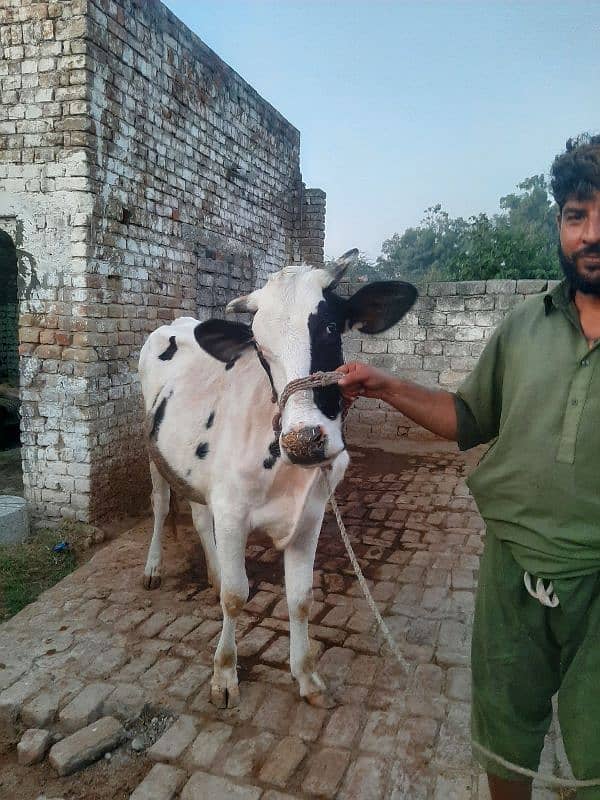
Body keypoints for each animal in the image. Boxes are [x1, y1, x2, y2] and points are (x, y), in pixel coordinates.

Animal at [139, 250, 418, 708]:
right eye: (260, 348)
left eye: (329, 327)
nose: (303, 440)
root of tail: (177, 323)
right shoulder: (232, 513)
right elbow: (235, 597)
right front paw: (224, 676)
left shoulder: (311, 515)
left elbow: (301, 599)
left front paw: (307, 678)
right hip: (151, 449)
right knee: (161, 505)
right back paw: (153, 568)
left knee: (197, 515)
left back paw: (213, 570)